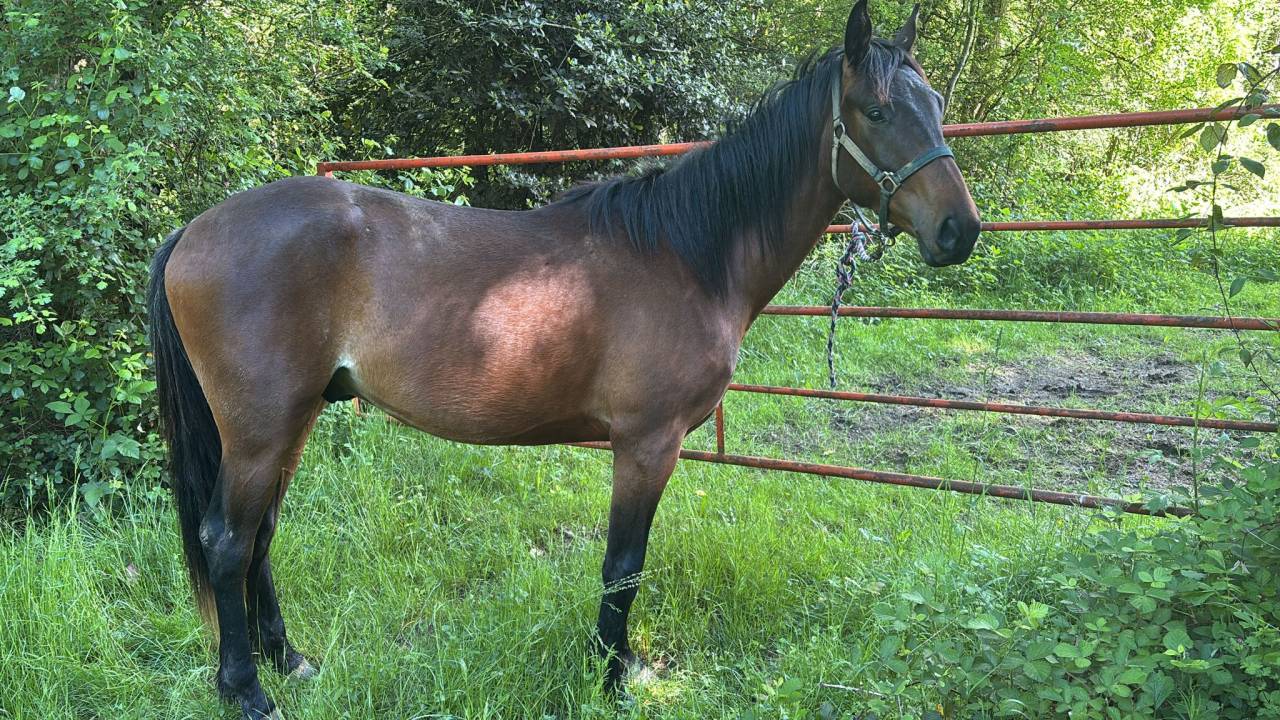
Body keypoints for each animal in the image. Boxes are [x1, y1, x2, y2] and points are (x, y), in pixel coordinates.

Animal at [147, 1, 979, 716]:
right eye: (876, 111)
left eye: (936, 103)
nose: (959, 231)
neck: (687, 254)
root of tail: (194, 231)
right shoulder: (645, 445)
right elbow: (624, 565)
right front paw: (612, 676)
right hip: (261, 430)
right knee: (227, 542)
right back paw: (247, 690)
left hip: (291, 424)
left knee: (259, 538)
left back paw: (289, 660)